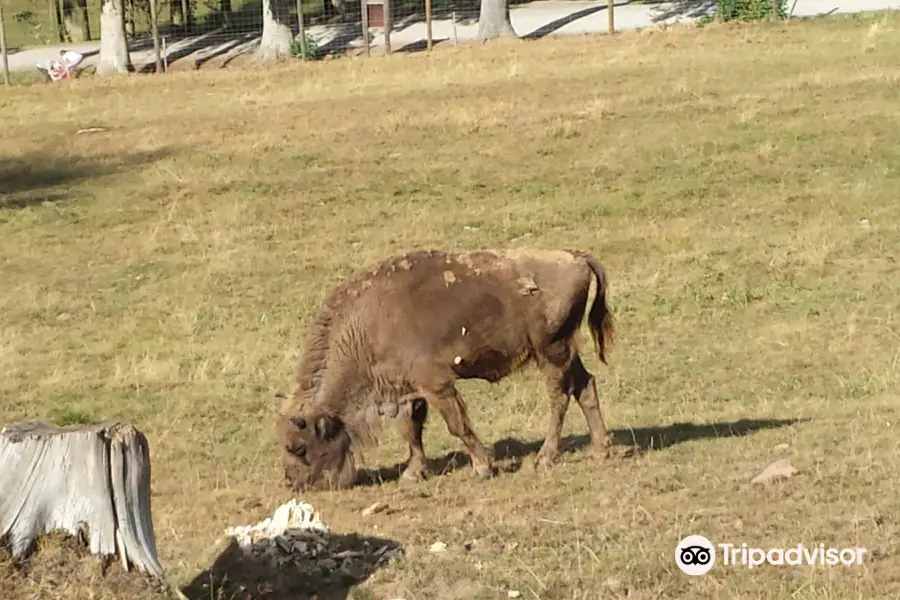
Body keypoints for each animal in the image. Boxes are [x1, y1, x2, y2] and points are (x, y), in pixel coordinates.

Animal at [274, 246, 612, 490]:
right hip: (565, 350)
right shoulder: (408, 391)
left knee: (560, 397)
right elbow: (411, 430)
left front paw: (482, 468)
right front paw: (413, 473)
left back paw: (545, 458)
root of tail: (575, 257)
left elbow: (456, 424)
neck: (366, 324)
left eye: (299, 448)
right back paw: (600, 449)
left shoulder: (435, 385)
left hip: (551, 351)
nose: (294, 484)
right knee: (586, 386)